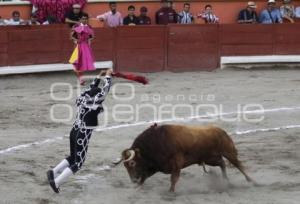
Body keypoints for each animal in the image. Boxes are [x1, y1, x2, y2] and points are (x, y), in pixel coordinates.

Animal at [119, 123, 253, 192]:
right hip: (210, 159)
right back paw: (227, 182)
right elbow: (145, 177)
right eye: (124, 165)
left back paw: (252, 181)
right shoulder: (157, 166)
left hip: (228, 152)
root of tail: (222, 131)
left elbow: (173, 179)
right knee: (222, 163)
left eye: (132, 163)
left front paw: (170, 192)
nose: (133, 180)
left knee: (238, 165)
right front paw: (137, 187)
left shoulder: (176, 163)